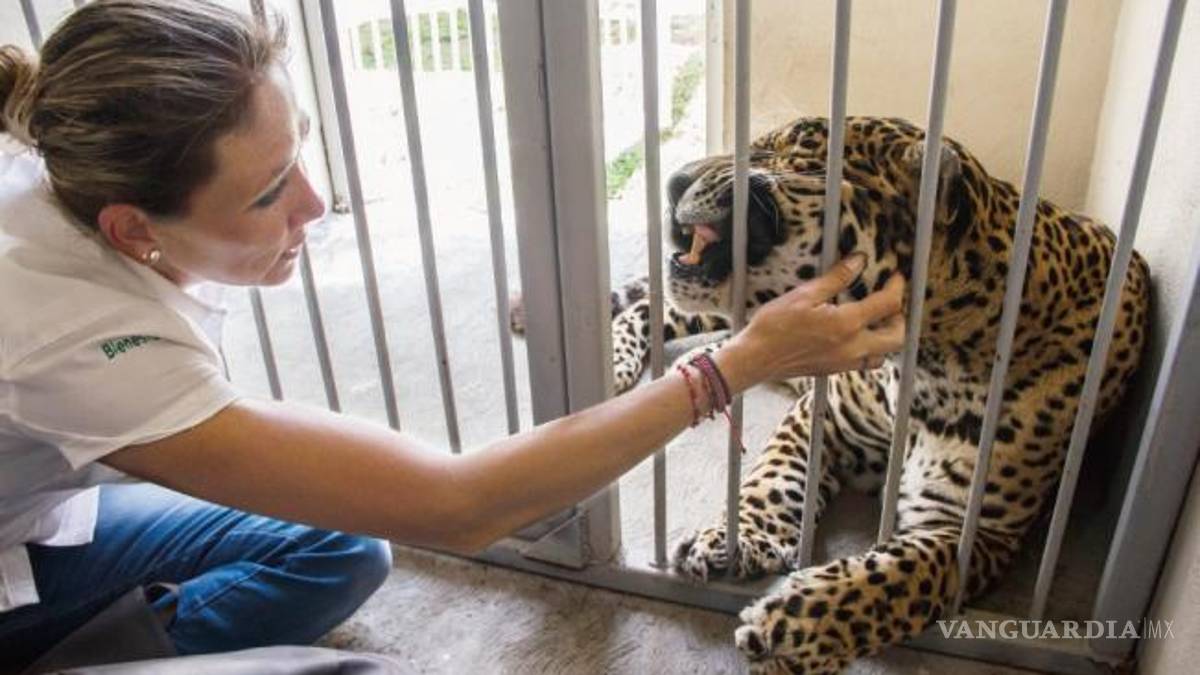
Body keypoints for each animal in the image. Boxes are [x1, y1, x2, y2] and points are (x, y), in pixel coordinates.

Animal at [592, 116, 1150, 673]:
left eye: (795, 145)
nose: (673, 182)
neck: (926, 365)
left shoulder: (973, 529)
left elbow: (901, 576)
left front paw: (791, 630)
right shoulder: (823, 416)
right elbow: (772, 481)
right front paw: (738, 537)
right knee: (655, 306)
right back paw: (620, 359)